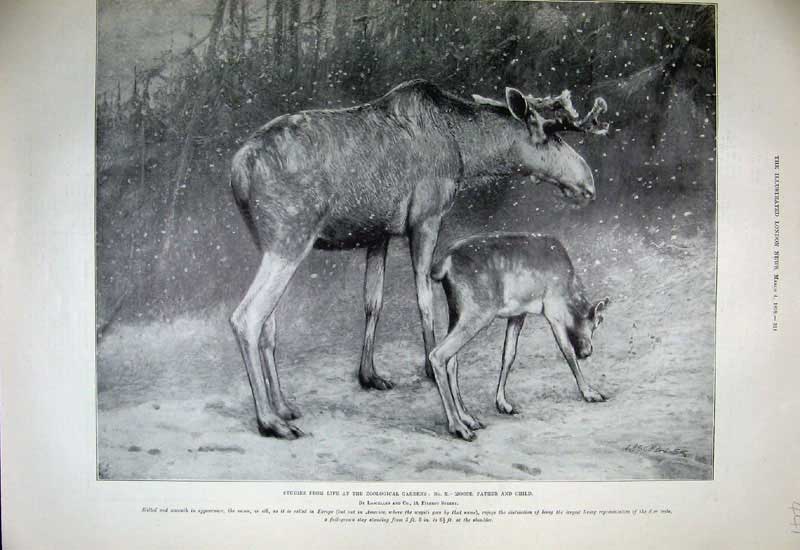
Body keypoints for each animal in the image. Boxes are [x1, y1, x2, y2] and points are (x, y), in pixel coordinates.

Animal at [428, 232, 610, 441]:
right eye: (597, 323)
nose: (587, 352)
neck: (570, 293)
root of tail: (443, 265)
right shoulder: (553, 308)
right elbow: (567, 351)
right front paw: (591, 393)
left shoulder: (518, 314)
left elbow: (508, 354)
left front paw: (503, 403)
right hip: (478, 311)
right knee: (438, 354)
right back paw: (459, 427)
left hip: (456, 310)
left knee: (452, 360)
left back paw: (469, 418)